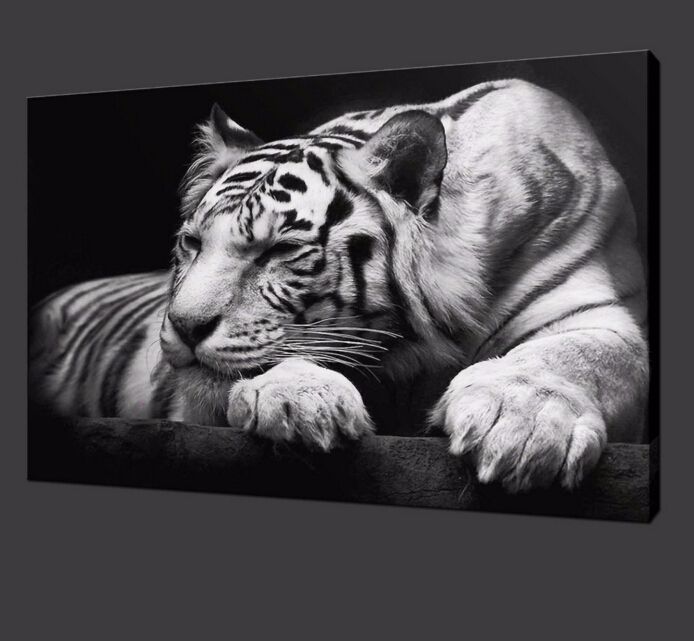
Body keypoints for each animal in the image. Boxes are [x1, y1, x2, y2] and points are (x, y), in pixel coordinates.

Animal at [30, 78, 649, 492]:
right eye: (192, 244)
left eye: (279, 250)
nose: (182, 327)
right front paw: (301, 400)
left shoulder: (595, 307)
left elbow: (581, 356)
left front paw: (521, 425)